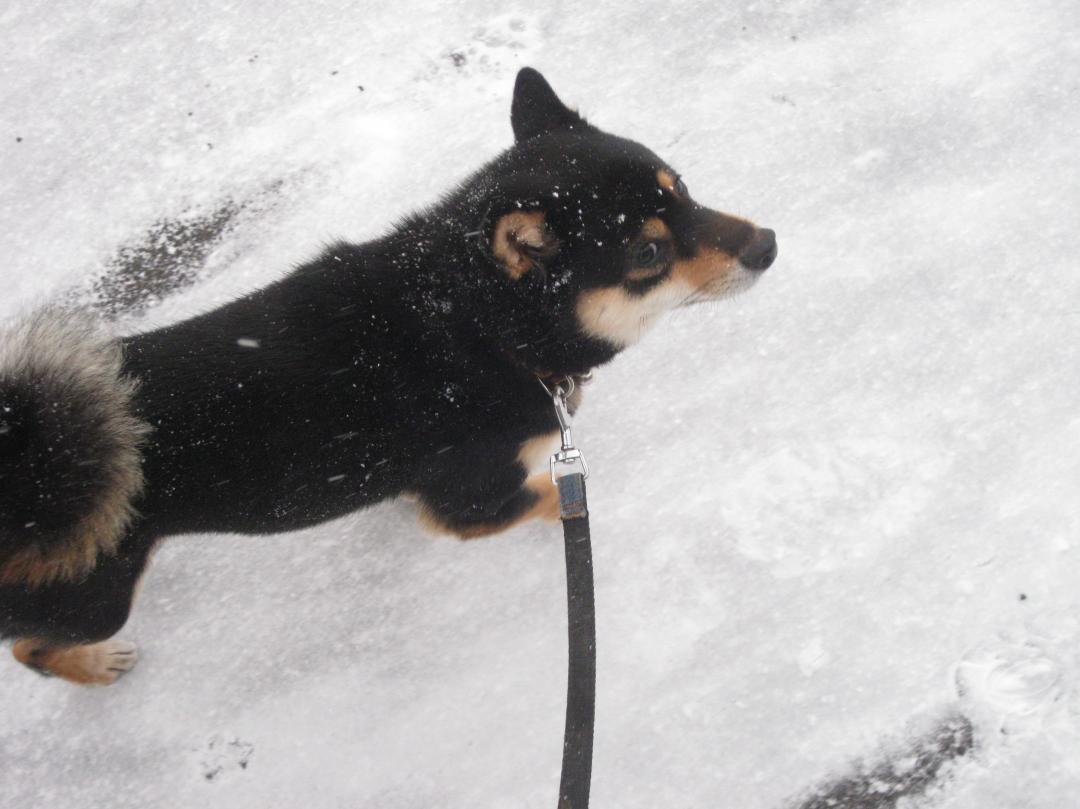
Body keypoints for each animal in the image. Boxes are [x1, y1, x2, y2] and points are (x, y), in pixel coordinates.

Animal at [0, 69, 777, 686]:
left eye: (683, 188)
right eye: (648, 251)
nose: (768, 243)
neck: (480, 326)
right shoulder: (471, 501)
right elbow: (544, 502)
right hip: (95, 596)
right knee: (30, 648)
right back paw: (93, 666)